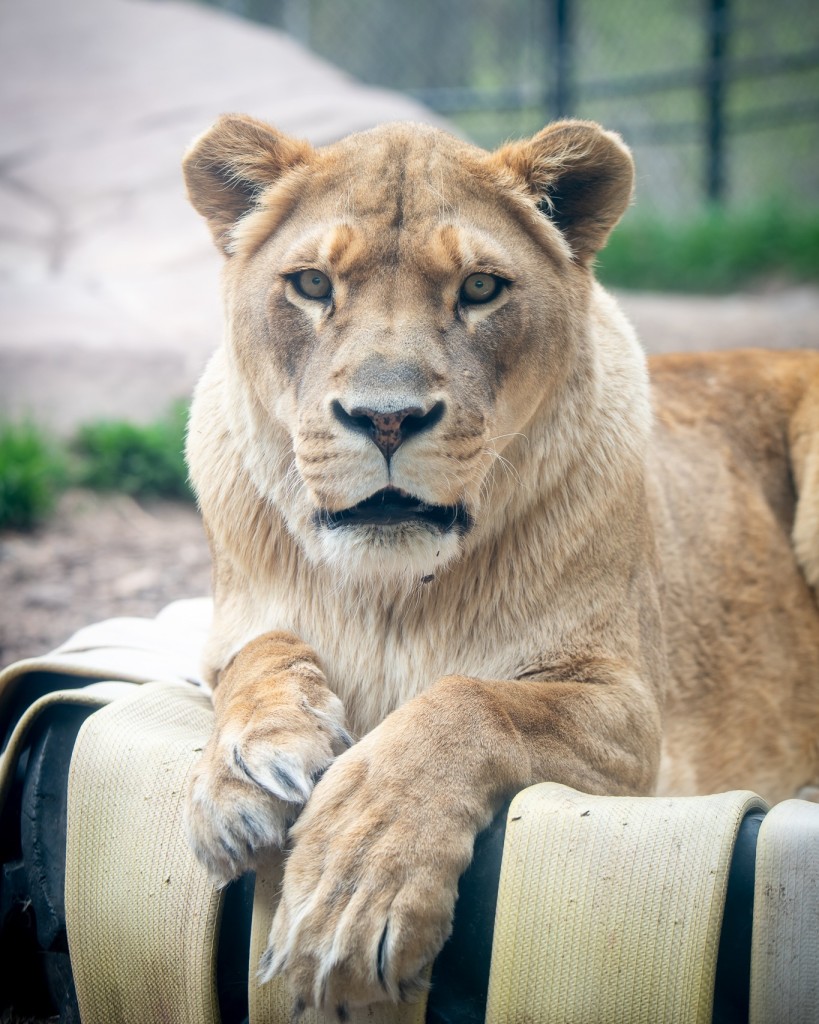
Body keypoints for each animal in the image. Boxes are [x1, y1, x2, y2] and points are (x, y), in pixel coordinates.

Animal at [180, 114, 819, 1012]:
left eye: (479, 289)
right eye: (310, 284)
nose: (385, 418)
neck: (391, 593)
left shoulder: (628, 715)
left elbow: (468, 704)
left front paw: (353, 886)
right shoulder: (224, 632)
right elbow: (261, 654)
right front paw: (248, 767)